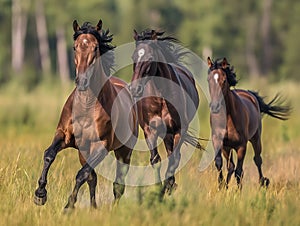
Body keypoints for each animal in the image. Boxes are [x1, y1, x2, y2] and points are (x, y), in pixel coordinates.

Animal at [34, 20, 138, 209]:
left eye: (95, 47)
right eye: (75, 47)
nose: (82, 81)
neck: (86, 106)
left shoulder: (101, 145)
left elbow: (81, 175)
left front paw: (69, 206)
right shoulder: (64, 135)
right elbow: (49, 155)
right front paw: (40, 194)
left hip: (124, 150)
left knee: (118, 182)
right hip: (84, 152)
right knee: (93, 178)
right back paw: (93, 207)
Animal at [129, 29, 204, 196]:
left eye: (150, 58)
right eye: (133, 57)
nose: (135, 89)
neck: (161, 97)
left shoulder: (178, 131)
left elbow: (173, 160)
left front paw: (168, 186)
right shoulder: (150, 130)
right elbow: (155, 160)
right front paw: (159, 189)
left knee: (174, 157)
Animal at [207, 57, 290, 190]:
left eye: (224, 80)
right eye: (208, 80)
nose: (215, 106)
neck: (228, 117)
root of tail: (250, 94)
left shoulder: (242, 146)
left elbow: (239, 171)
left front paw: (238, 192)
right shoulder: (218, 141)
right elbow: (219, 163)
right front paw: (221, 186)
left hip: (256, 139)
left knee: (257, 160)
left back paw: (263, 182)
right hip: (227, 147)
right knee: (230, 166)